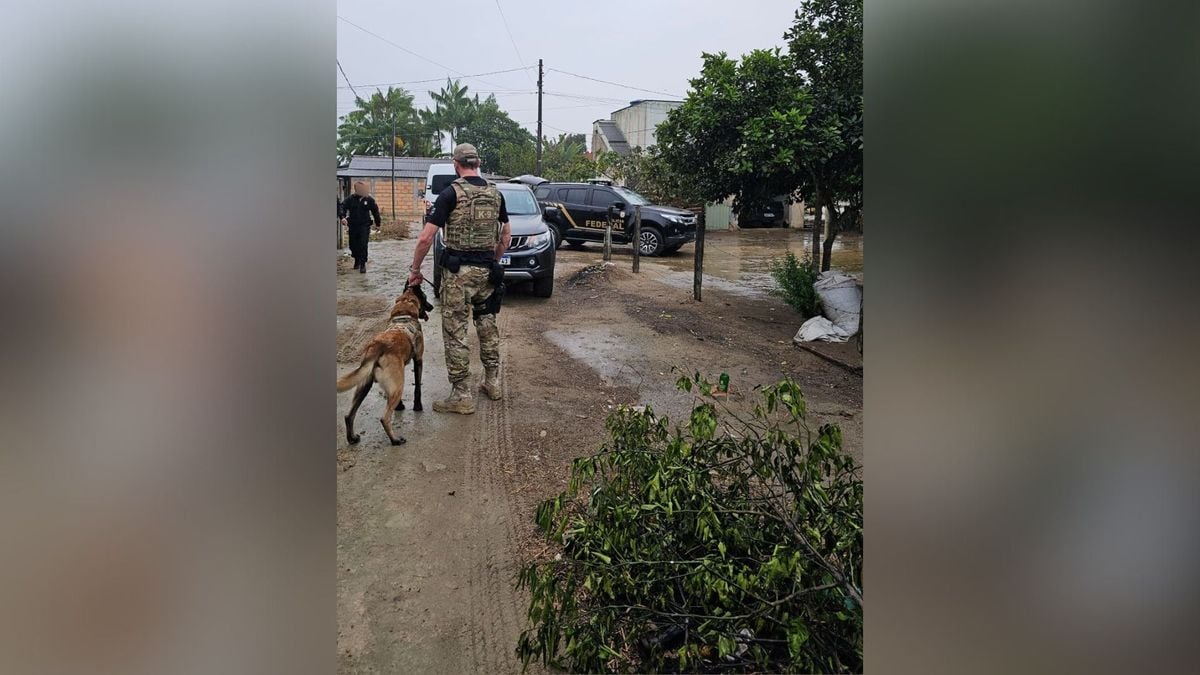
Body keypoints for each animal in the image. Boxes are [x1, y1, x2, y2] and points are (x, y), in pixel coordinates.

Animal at [336, 282, 434, 444]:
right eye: (425, 298)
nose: (432, 307)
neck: (404, 311)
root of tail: (377, 345)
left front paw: (400, 406)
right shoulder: (418, 360)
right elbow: (417, 388)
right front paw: (417, 406)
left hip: (364, 384)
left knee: (349, 415)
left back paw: (352, 438)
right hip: (397, 385)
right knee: (384, 418)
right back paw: (395, 440)